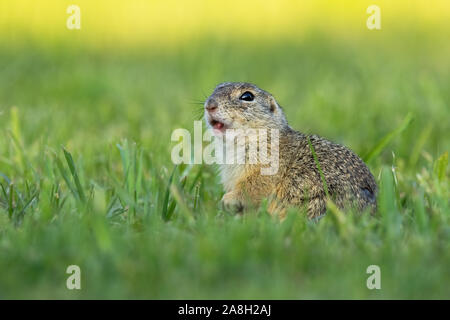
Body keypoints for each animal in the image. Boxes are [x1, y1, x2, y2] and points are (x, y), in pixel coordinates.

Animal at [204, 81, 376, 219]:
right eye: (216, 88)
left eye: (247, 96)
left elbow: (253, 186)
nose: (209, 105)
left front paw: (227, 200)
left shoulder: (267, 167)